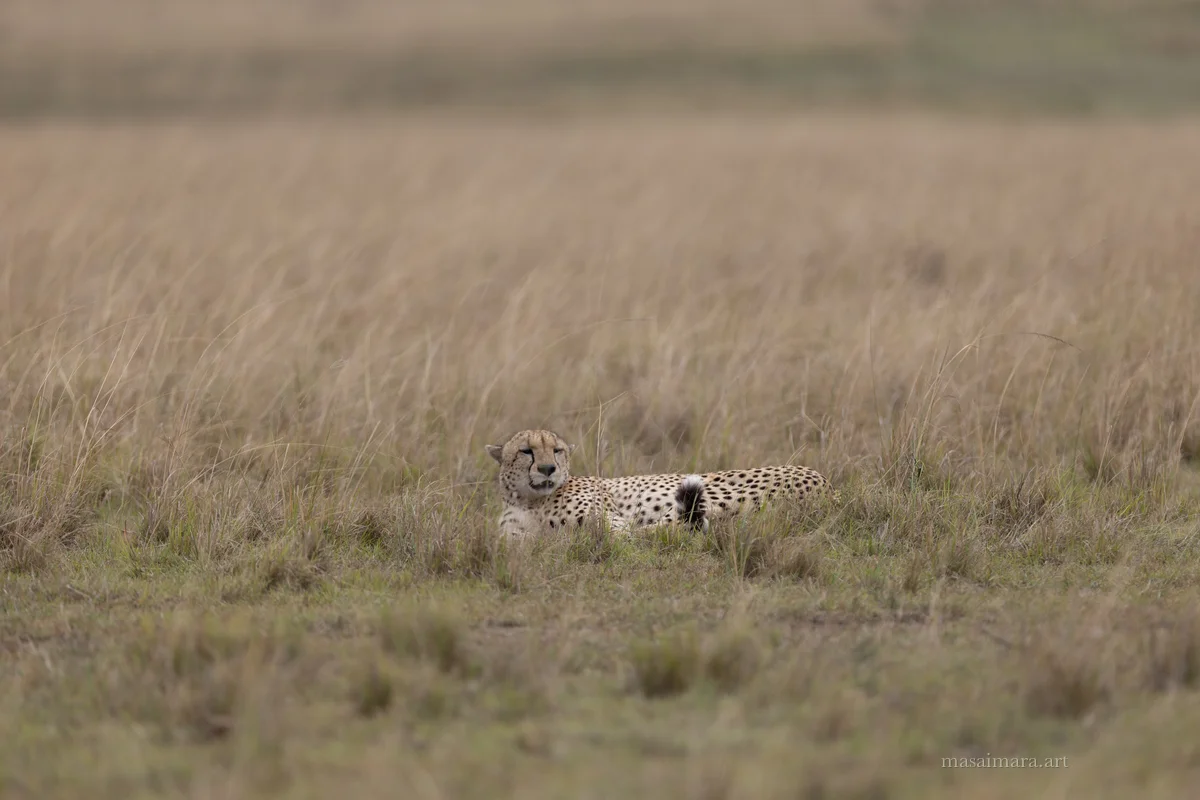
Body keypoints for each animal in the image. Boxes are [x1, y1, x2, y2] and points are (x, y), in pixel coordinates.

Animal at [485, 428, 835, 539]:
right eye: (526, 451)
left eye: (556, 450)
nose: (548, 469)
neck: (531, 501)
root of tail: (829, 487)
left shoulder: (613, 522)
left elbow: (620, 535)